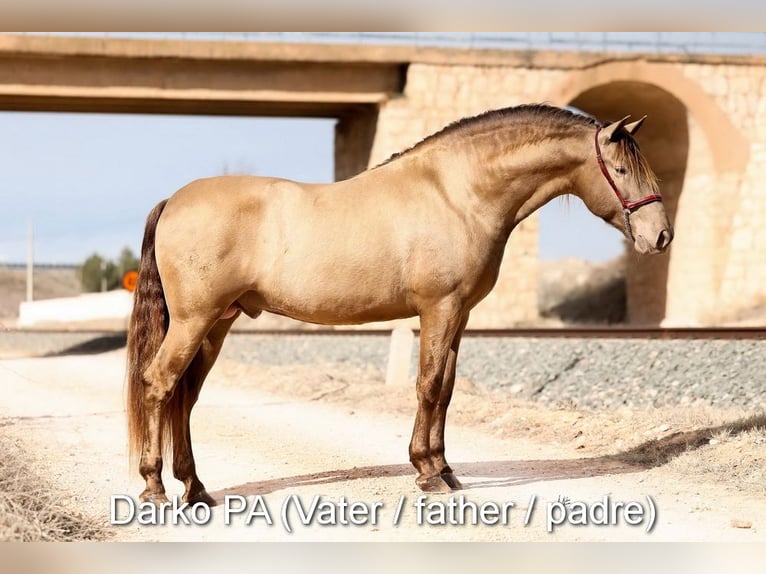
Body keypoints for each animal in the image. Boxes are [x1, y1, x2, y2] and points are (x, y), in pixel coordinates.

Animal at [126, 104, 673, 505]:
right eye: (620, 169)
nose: (661, 236)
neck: (457, 192)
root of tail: (173, 201)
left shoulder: (460, 315)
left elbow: (446, 389)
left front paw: (444, 468)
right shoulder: (440, 309)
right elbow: (427, 386)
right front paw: (427, 473)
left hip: (216, 324)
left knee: (184, 397)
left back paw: (195, 488)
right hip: (194, 321)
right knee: (158, 386)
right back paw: (155, 487)